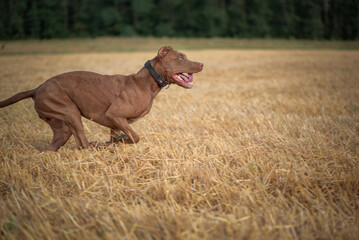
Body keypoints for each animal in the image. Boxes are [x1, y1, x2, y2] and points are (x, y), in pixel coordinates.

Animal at [0, 46, 204, 151]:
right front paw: (117, 142)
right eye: (180, 58)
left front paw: (115, 143)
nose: (201, 63)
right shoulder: (115, 115)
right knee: (82, 143)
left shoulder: (116, 123)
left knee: (61, 142)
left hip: (61, 125)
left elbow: (119, 137)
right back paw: (94, 147)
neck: (147, 82)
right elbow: (136, 137)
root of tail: (36, 89)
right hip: (70, 111)